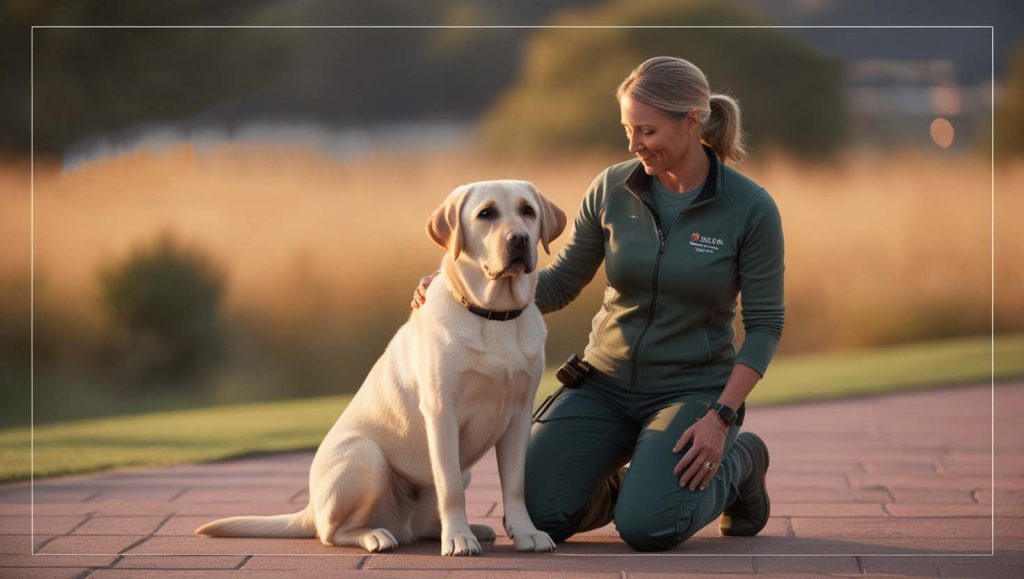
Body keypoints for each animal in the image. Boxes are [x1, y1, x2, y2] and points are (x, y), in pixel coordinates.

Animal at [197, 180, 569, 553]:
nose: (519, 239)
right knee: (331, 532)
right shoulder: (442, 412)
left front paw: (526, 533)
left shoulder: (518, 415)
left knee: (420, 524)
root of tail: (310, 508)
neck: (493, 315)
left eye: (527, 211)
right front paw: (459, 539)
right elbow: (450, 489)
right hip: (366, 457)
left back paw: (469, 528)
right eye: (486, 213)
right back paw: (378, 535)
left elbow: (515, 485)